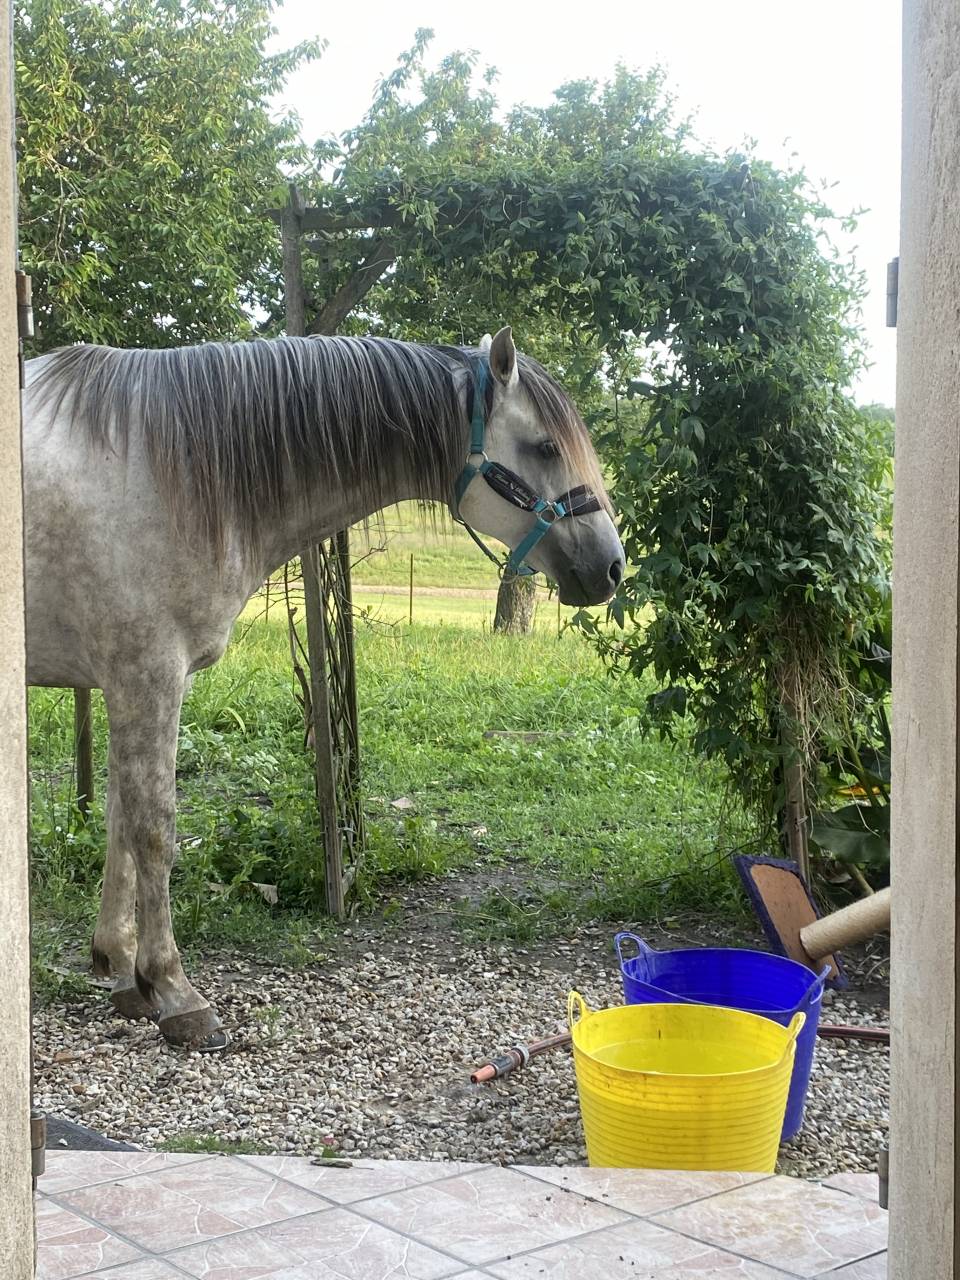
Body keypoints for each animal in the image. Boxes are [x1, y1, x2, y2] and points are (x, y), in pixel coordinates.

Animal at [23, 325, 625, 1050]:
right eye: (544, 447)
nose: (612, 566)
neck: (162, 469)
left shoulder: (130, 683)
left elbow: (119, 822)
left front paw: (117, 969)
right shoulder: (146, 675)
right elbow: (154, 832)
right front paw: (172, 990)